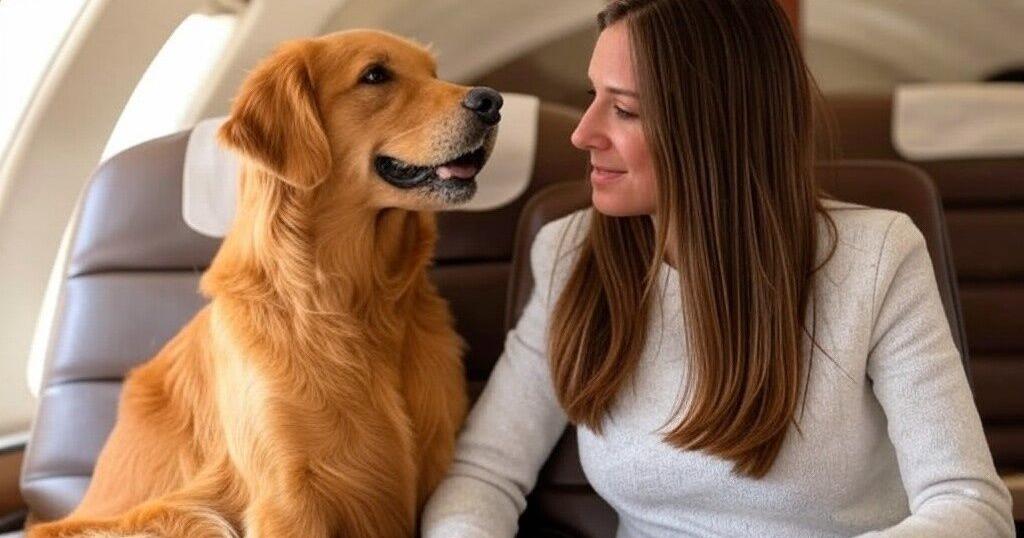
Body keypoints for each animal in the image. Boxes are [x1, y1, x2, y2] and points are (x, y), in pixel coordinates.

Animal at [28, 29, 499, 536]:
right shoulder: (289, 496)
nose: (492, 101)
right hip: (187, 514)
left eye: (434, 73)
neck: (357, 301)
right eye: (375, 75)